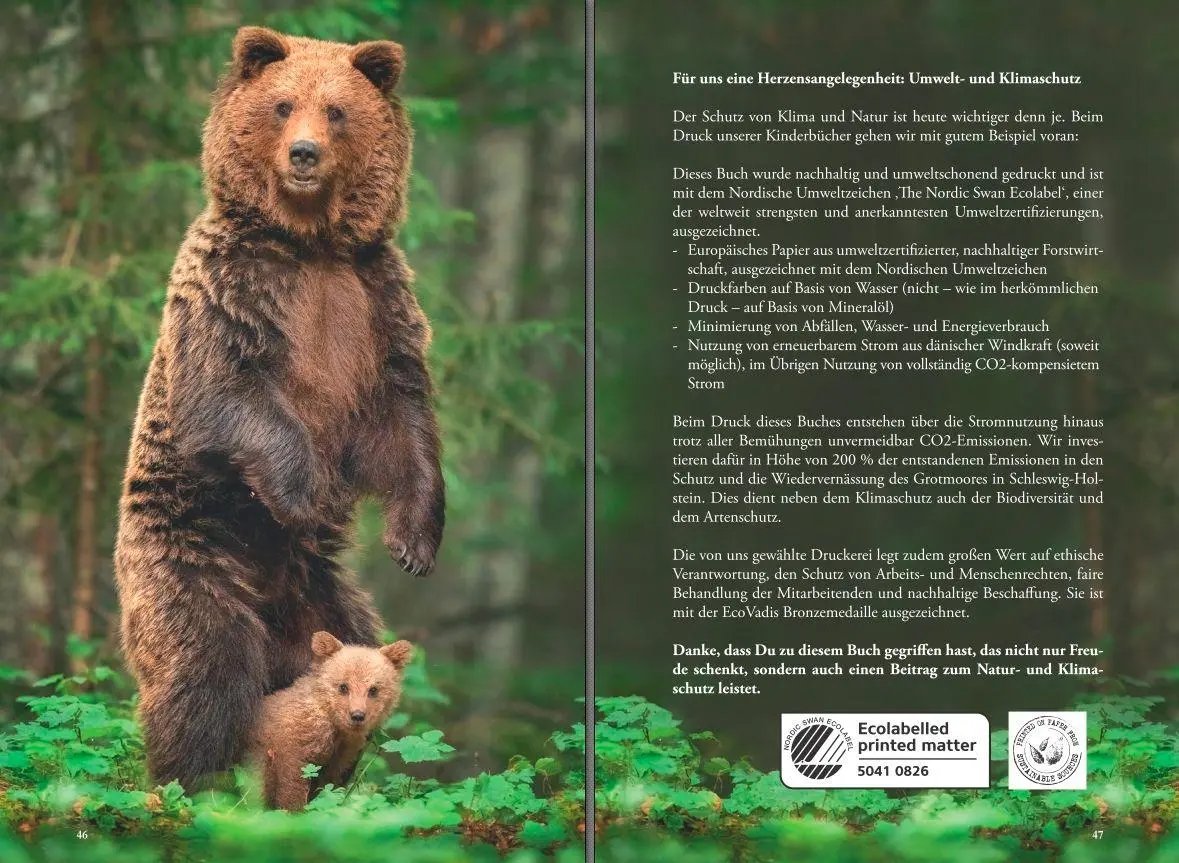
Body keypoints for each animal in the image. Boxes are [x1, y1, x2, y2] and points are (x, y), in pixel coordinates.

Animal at [112, 26, 445, 792]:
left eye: (337, 111)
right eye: (283, 103)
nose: (303, 154)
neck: (309, 245)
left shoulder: (374, 303)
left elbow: (404, 419)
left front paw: (413, 542)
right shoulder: (230, 292)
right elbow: (227, 395)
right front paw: (303, 492)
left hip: (329, 603)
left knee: (354, 652)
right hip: (189, 559)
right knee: (204, 669)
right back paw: (189, 781)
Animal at [249, 631, 413, 811]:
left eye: (373, 689)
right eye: (343, 686)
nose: (357, 716)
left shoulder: (341, 754)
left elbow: (328, 784)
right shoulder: (288, 747)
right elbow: (290, 786)